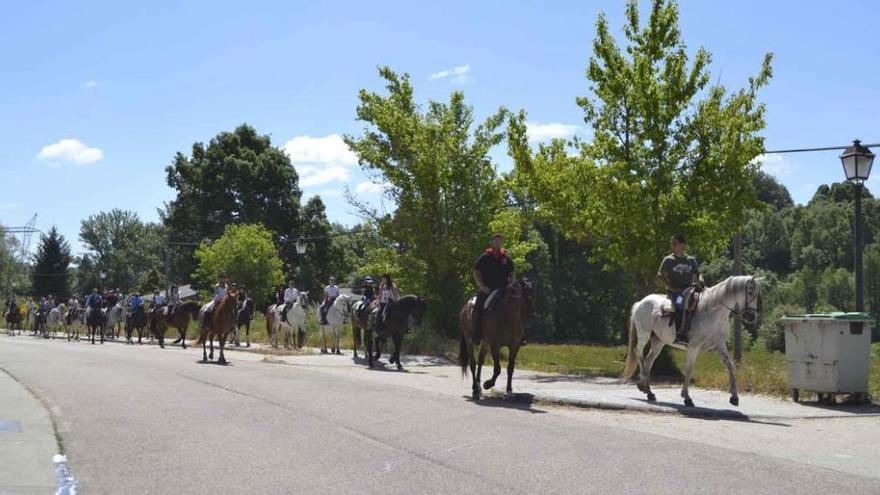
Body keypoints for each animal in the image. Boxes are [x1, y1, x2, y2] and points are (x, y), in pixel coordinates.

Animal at [624, 276, 760, 406]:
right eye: (750, 292)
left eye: (758, 294)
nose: (752, 317)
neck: (713, 312)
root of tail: (641, 302)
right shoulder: (694, 347)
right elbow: (689, 369)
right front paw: (687, 397)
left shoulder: (720, 345)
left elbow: (730, 366)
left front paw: (734, 397)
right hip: (644, 334)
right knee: (638, 352)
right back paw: (642, 383)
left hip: (658, 341)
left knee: (649, 360)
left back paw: (648, 391)